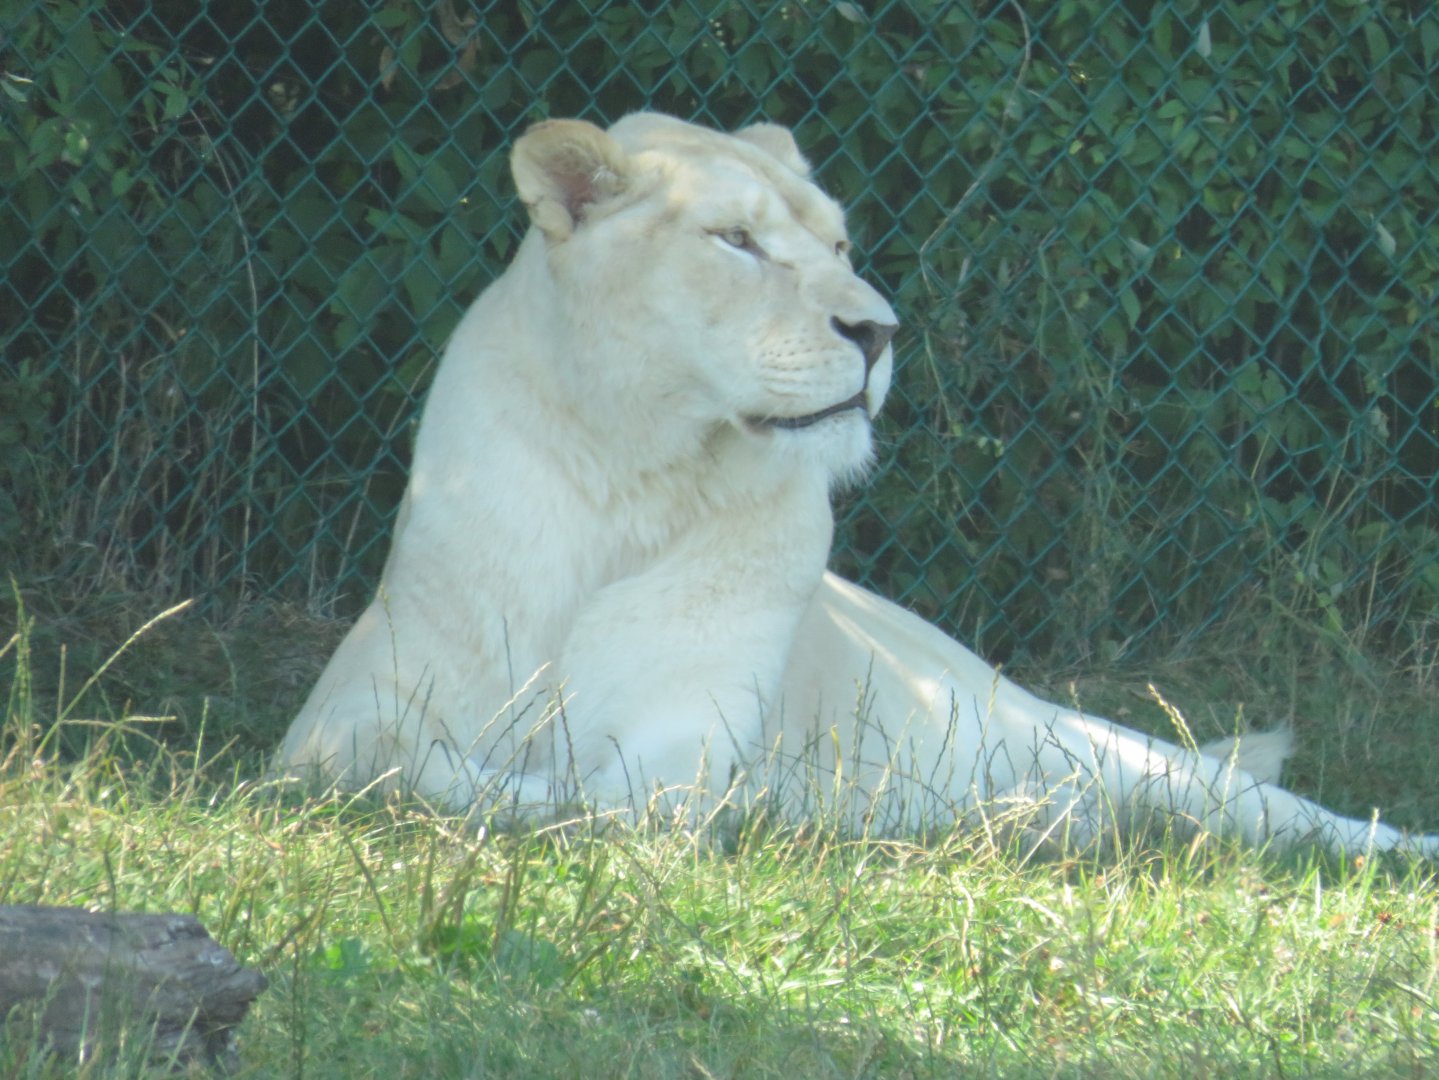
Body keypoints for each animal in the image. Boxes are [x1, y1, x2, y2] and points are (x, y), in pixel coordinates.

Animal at [277, 113, 1435, 858]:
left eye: (836, 242)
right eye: (736, 241)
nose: (878, 331)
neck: (634, 473)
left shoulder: (683, 741)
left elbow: (615, 796)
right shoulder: (336, 717)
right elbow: (394, 765)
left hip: (1080, 738)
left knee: (1250, 804)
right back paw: (1035, 821)